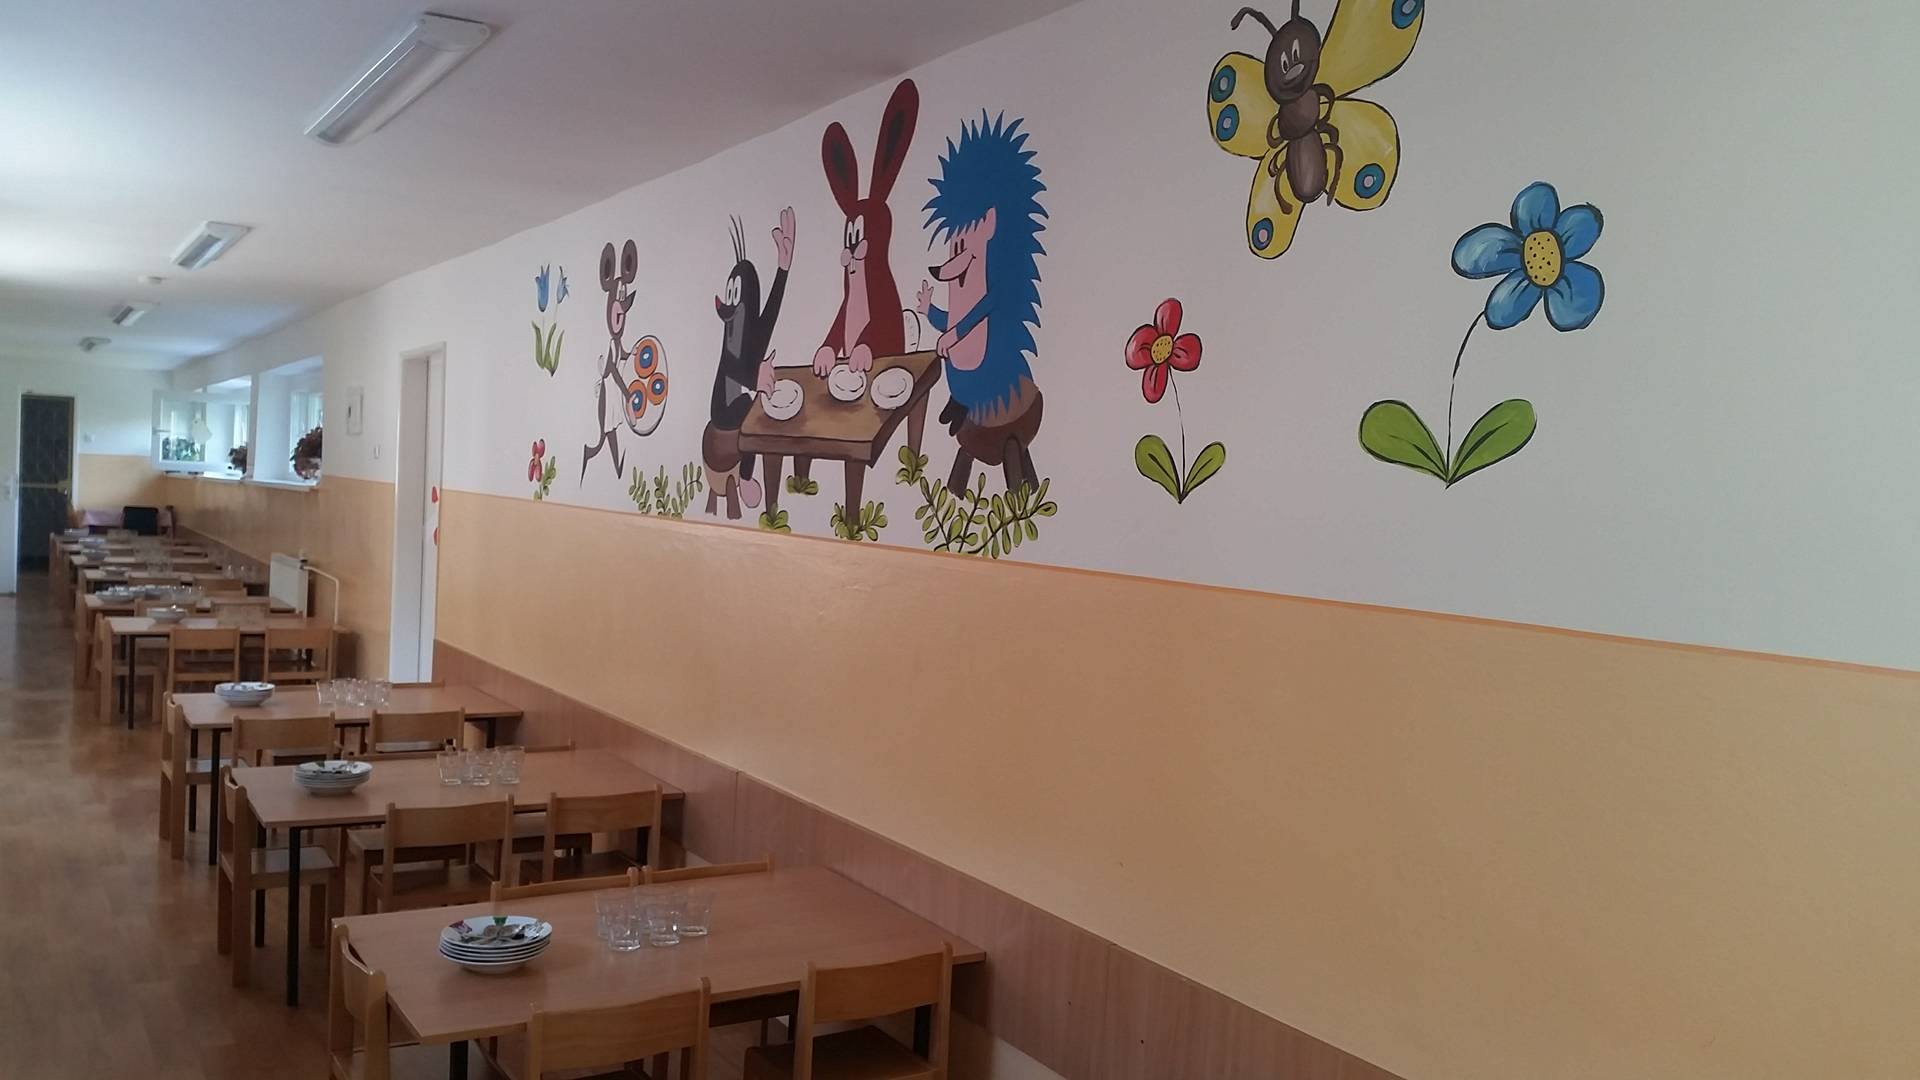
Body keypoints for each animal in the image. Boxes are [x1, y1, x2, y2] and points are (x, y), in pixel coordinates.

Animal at [812, 79, 919, 377]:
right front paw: (823, 357)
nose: (850, 250)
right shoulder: (844, 307)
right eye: (849, 234)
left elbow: (871, 333)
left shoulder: (881, 310)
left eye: (858, 234)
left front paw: (860, 355)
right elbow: (834, 331)